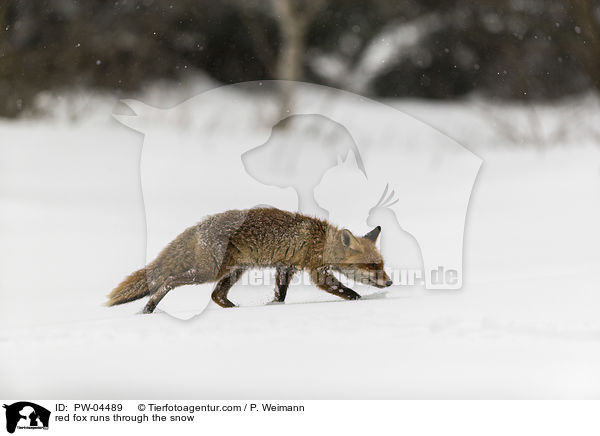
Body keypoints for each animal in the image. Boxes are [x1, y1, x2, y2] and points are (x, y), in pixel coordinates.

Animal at [105, 208, 392, 314]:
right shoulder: (316, 271)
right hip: (208, 271)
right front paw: (360, 300)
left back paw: (235, 311)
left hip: (235, 270)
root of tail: (200, 226)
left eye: (382, 265)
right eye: (372, 266)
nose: (389, 283)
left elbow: (280, 293)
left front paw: (274, 306)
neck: (321, 240)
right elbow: (344, 290)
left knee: (216, 295)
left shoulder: (285, 266)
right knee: (168, 280)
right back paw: (149, 308)